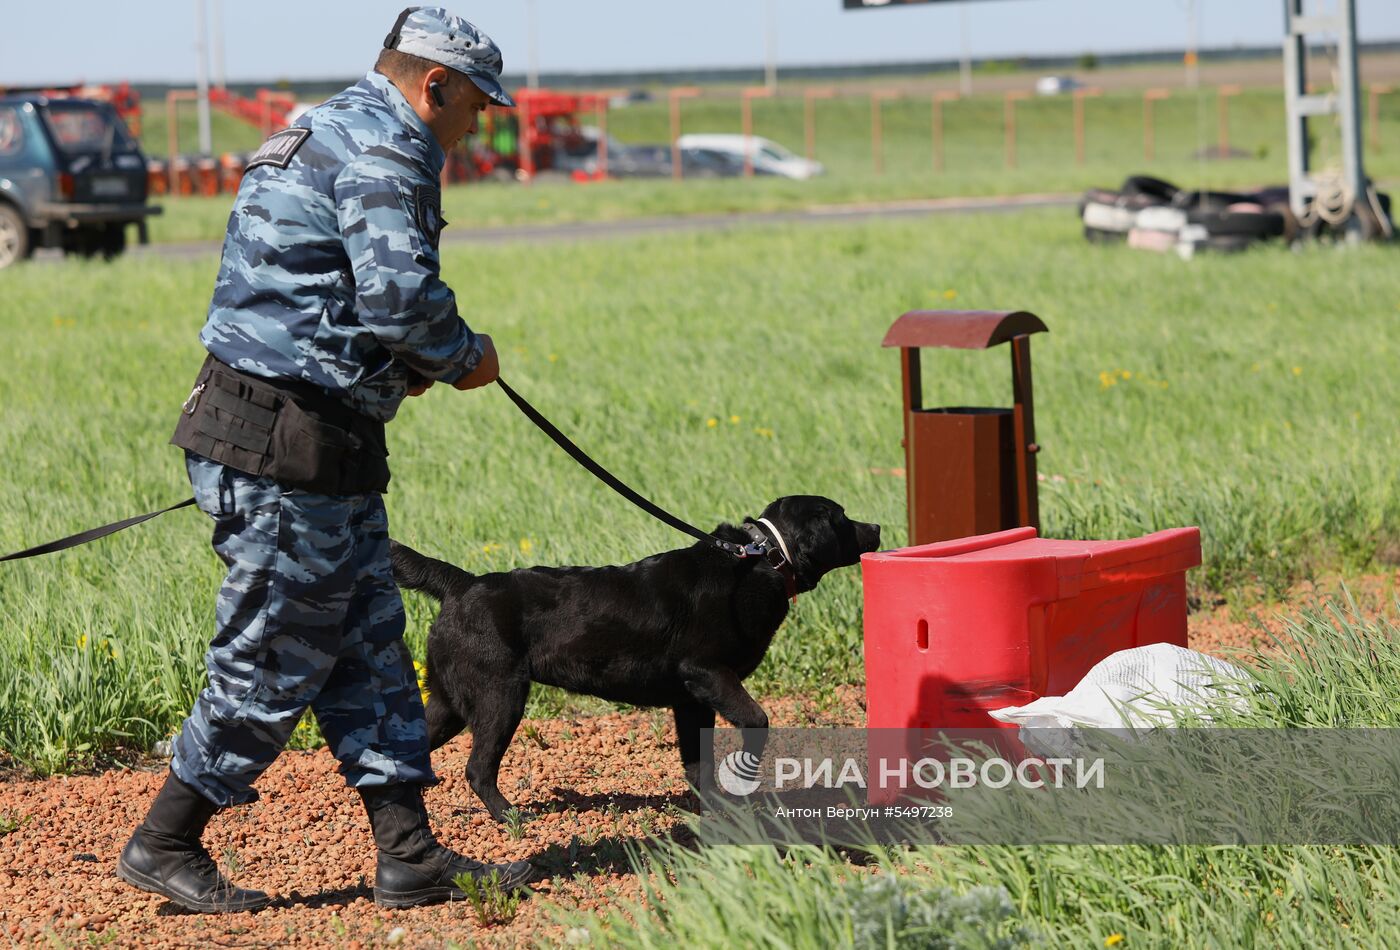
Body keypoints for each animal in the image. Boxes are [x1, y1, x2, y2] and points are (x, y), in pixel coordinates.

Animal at [392, 498, 873, 817]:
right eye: (842, 517)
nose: (878, 527)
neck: (763, 560)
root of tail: (462, 583)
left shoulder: (690, 700)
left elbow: (696, 763)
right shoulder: (709, 674)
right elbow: (758, 721)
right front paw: (740, 778)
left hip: (449, 703)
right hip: (499, 697)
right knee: (477, 769)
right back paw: (510, 817)